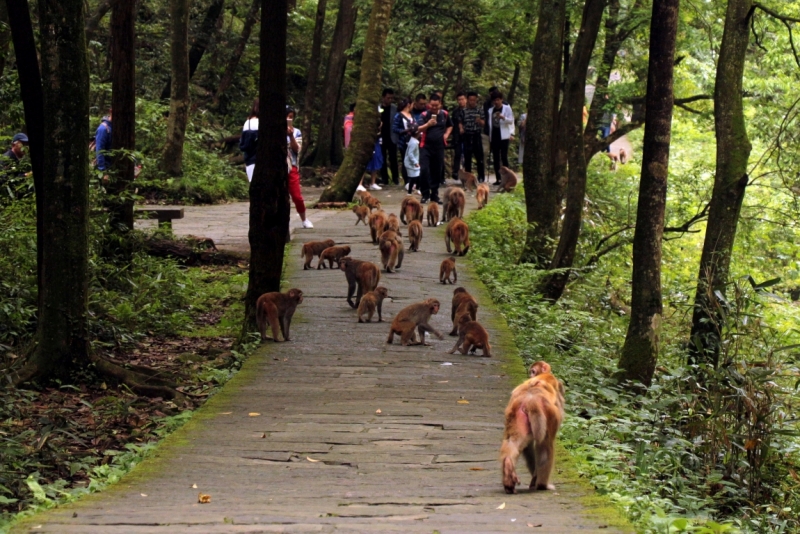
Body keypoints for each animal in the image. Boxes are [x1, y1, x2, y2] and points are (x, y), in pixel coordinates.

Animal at [500, 362, 568, 496]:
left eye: (532, 371)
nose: (530, 374)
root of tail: (530, 399)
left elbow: (528, 447)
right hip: (548, 414)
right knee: (546, 446)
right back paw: (542, 485)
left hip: (515, 413)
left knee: (513, 441)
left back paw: (508, 468)